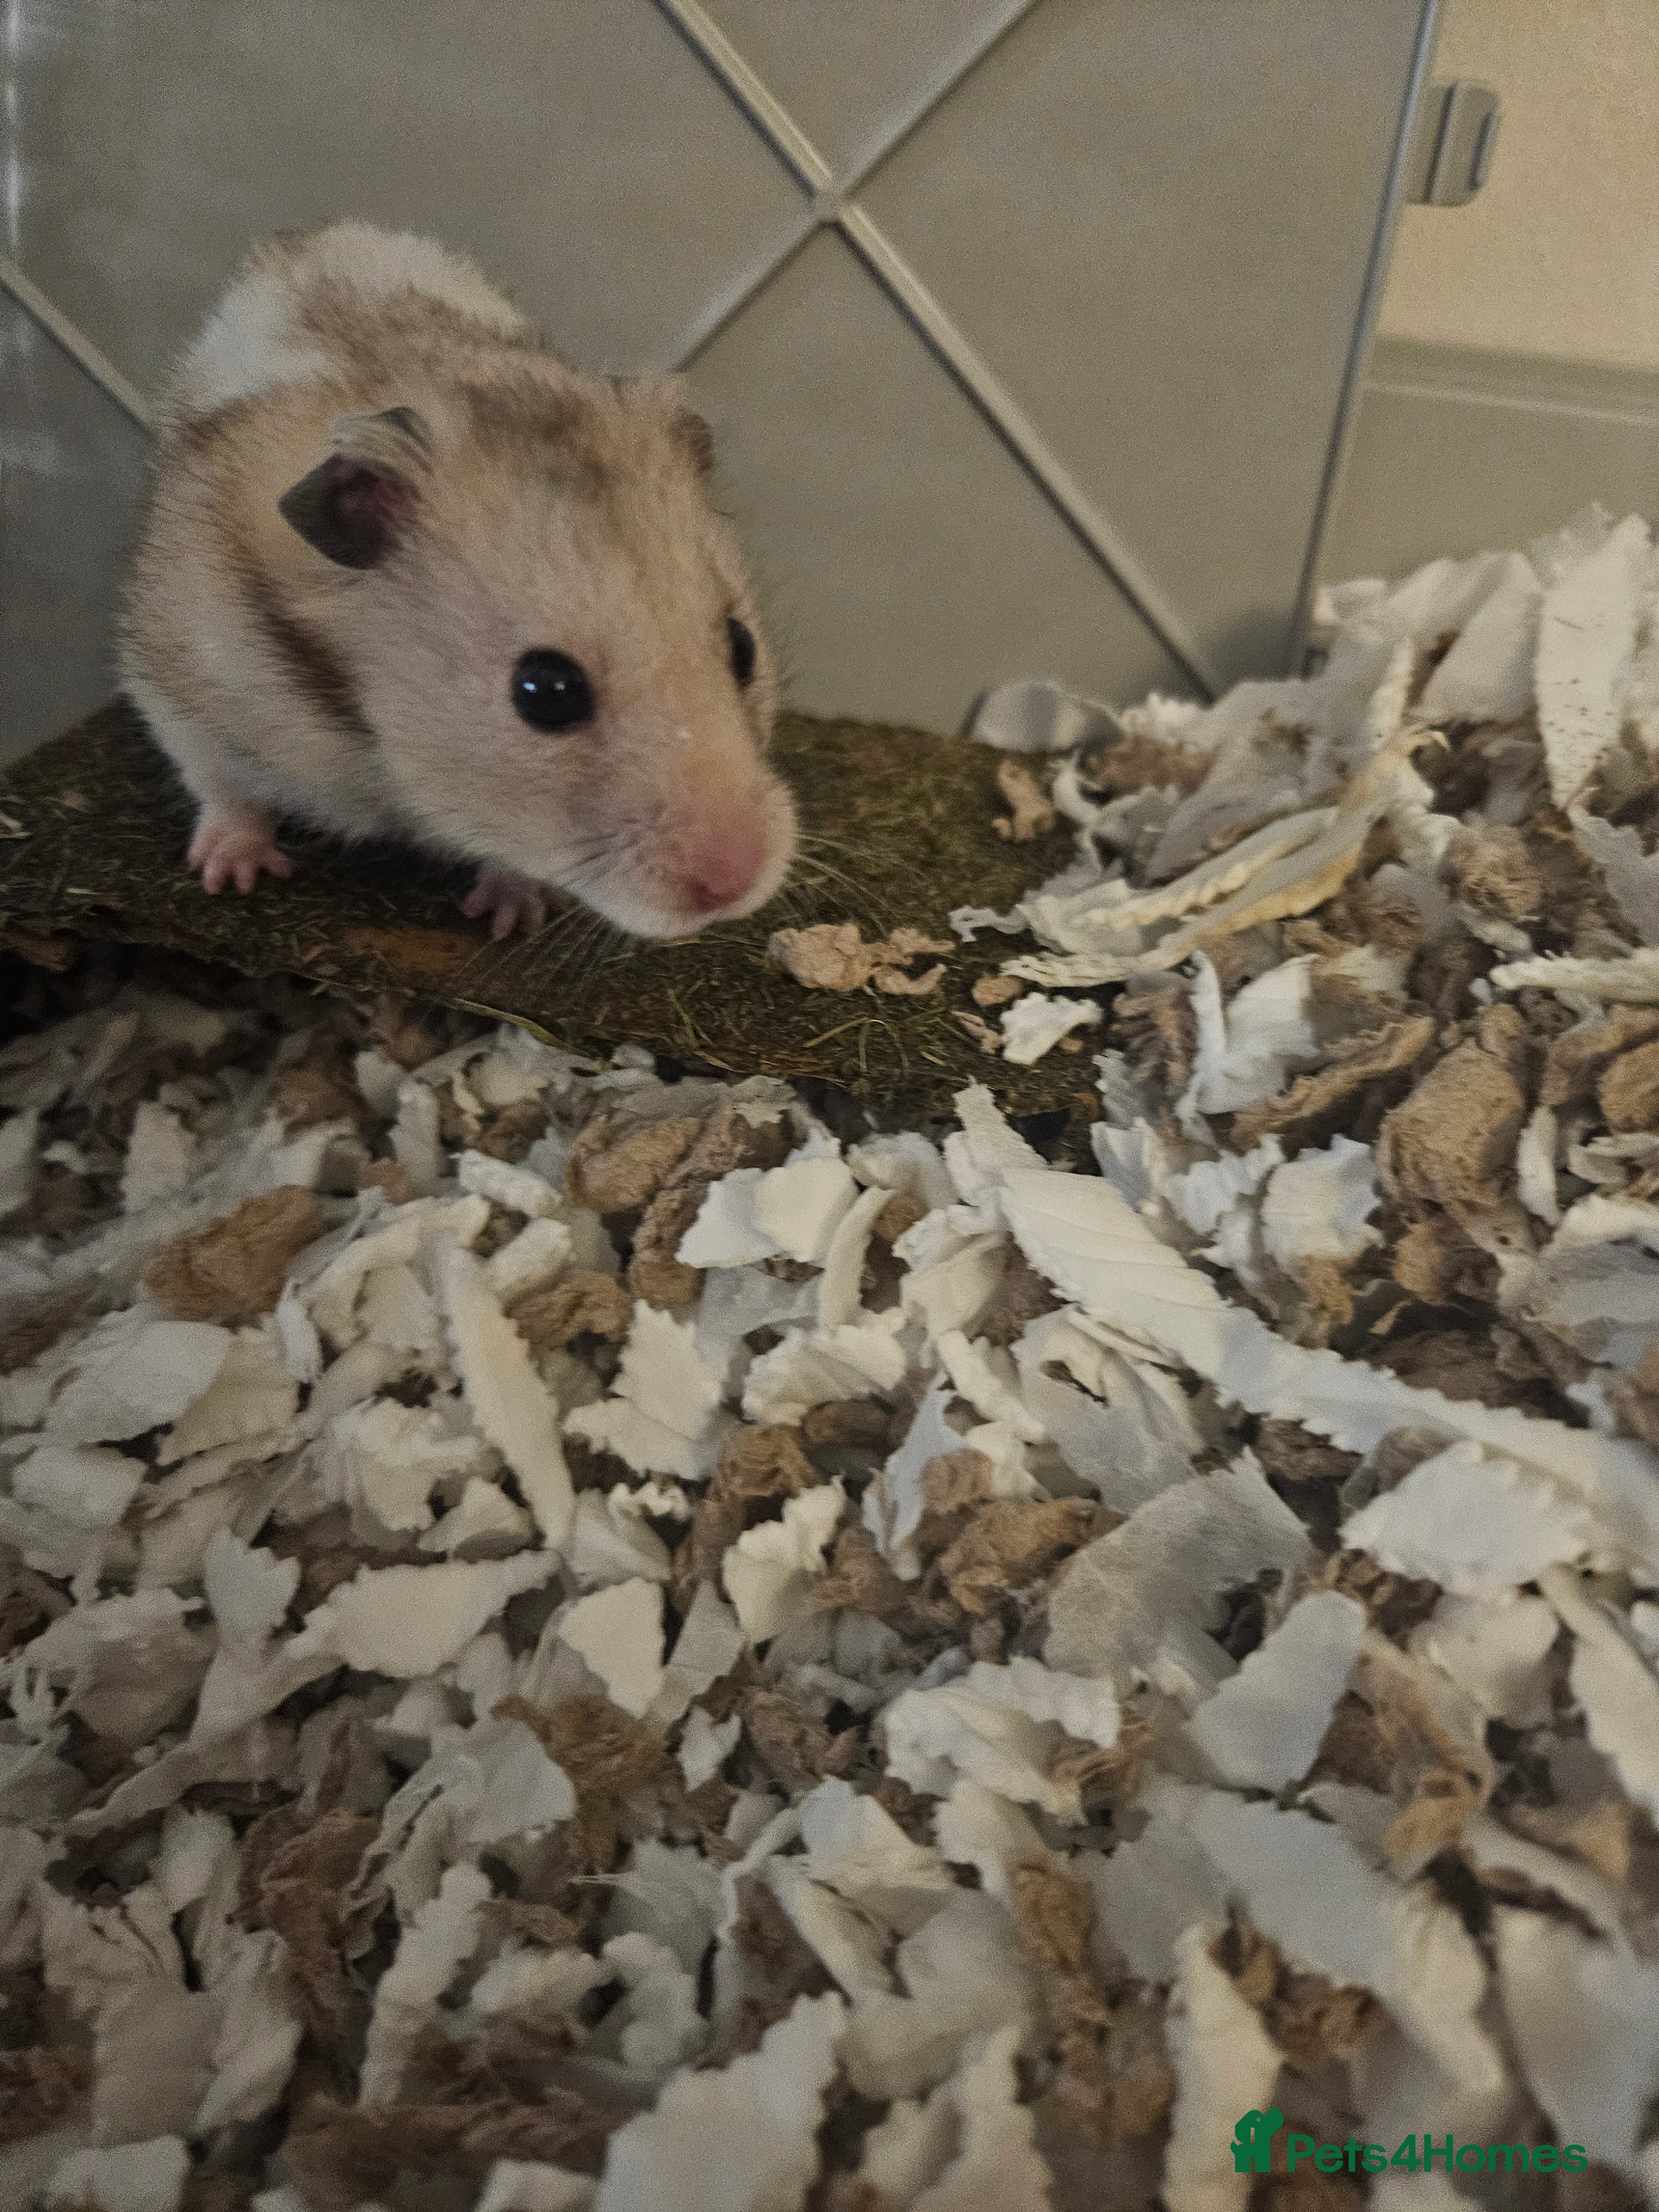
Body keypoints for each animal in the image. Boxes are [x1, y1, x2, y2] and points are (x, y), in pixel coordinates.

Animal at [120, 221, 797, 940]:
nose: (735, 883)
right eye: (545, 690)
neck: (379, 753)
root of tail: (306, 232)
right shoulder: (177, 680)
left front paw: (511, 919)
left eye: (743, 647)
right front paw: (231, 877)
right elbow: (226, 787)